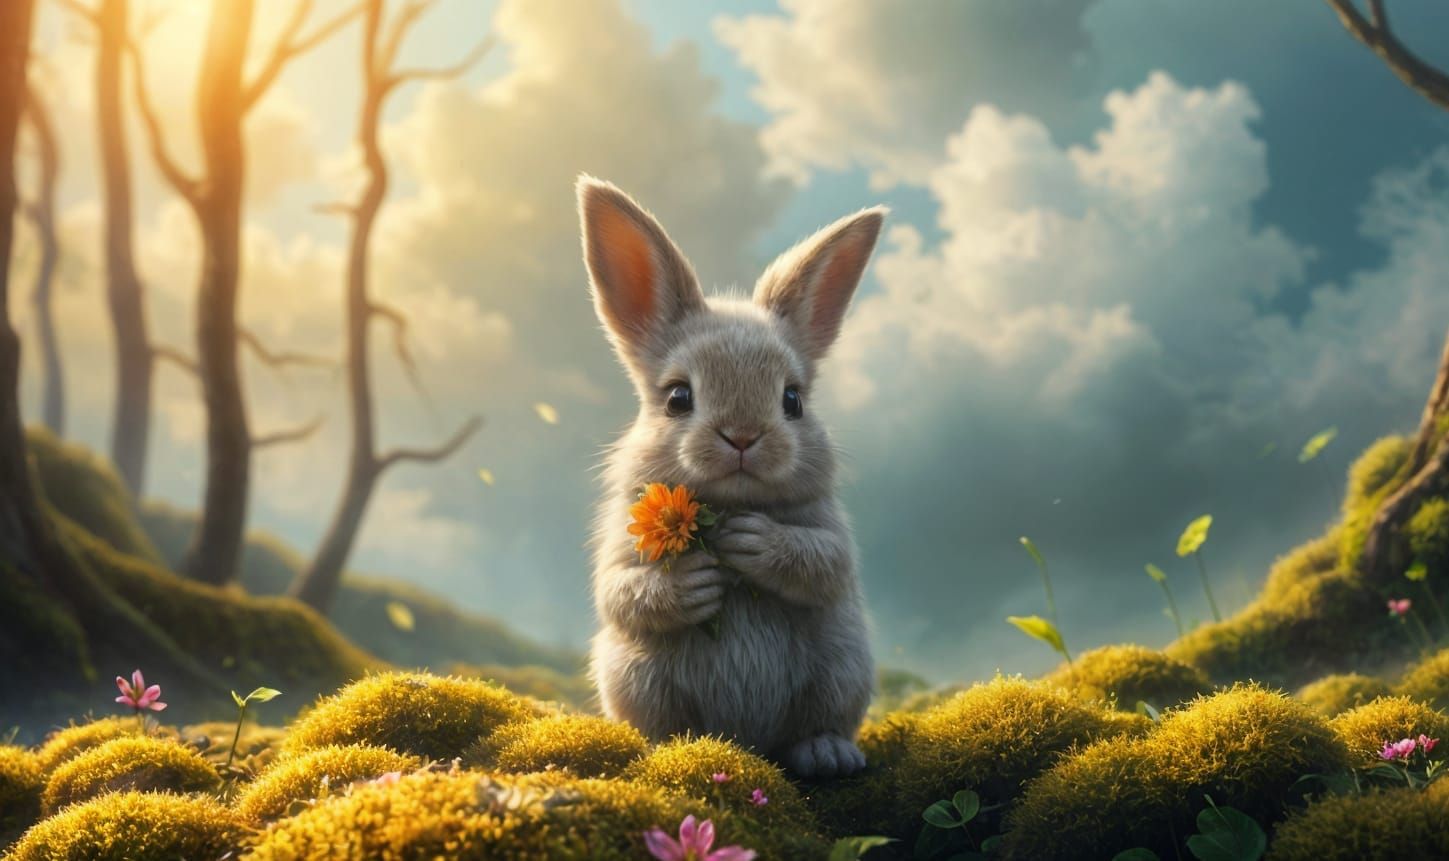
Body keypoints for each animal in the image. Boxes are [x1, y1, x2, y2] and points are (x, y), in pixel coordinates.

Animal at [577, 175, 884, 779]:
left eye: (792, 400)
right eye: (678, 397)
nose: (742, 437)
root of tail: (748, 742)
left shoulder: (830, 532)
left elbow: (826, 562)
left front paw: (751, 541)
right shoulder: (622, 539)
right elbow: (619, 589)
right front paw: (696, 579)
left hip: (843, 664)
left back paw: (828, 753)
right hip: (633, 674)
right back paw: (674, 749)